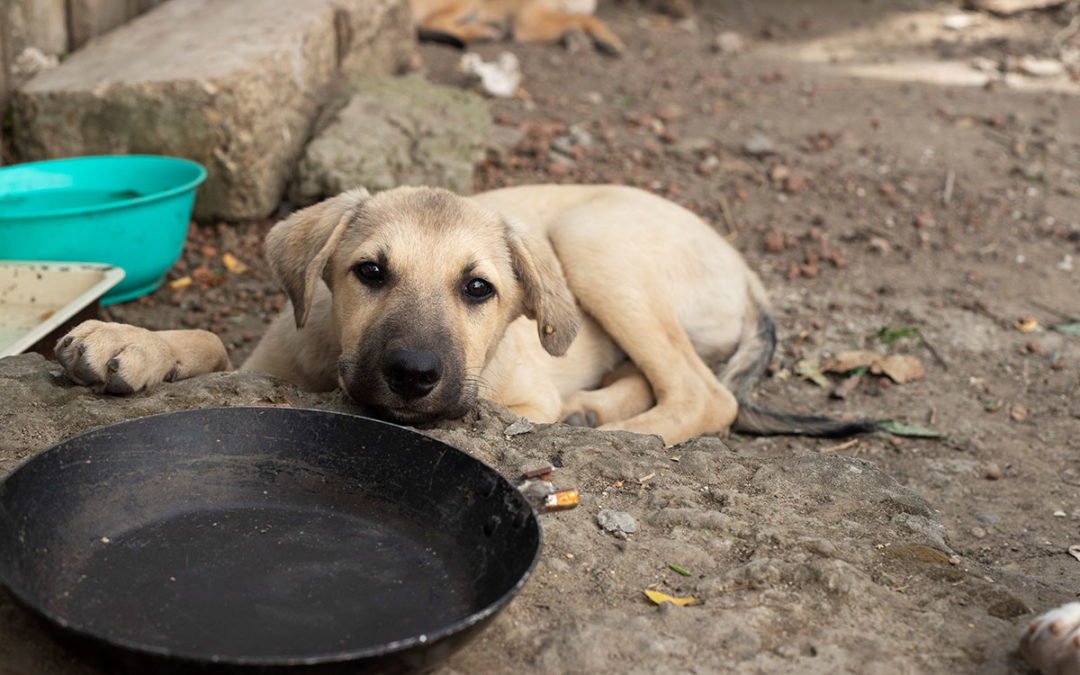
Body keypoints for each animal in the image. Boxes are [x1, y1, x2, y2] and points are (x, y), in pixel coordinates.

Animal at [54, 186, 872, 444]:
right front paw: (131, 341)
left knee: (707, 395)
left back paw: (605, 429)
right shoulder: (267, 355)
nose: (413, 376)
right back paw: (596, 412)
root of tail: (746, 270)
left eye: (479, 289)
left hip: (591, 239)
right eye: (369, 273)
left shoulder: (516, 392)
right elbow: (208, 337)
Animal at [406, 0, 626, 55]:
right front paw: (611, 40)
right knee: (429, 24)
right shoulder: (530, 21)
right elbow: (587, 18)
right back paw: (484, 32)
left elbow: (580, 18)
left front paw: (578, 39)